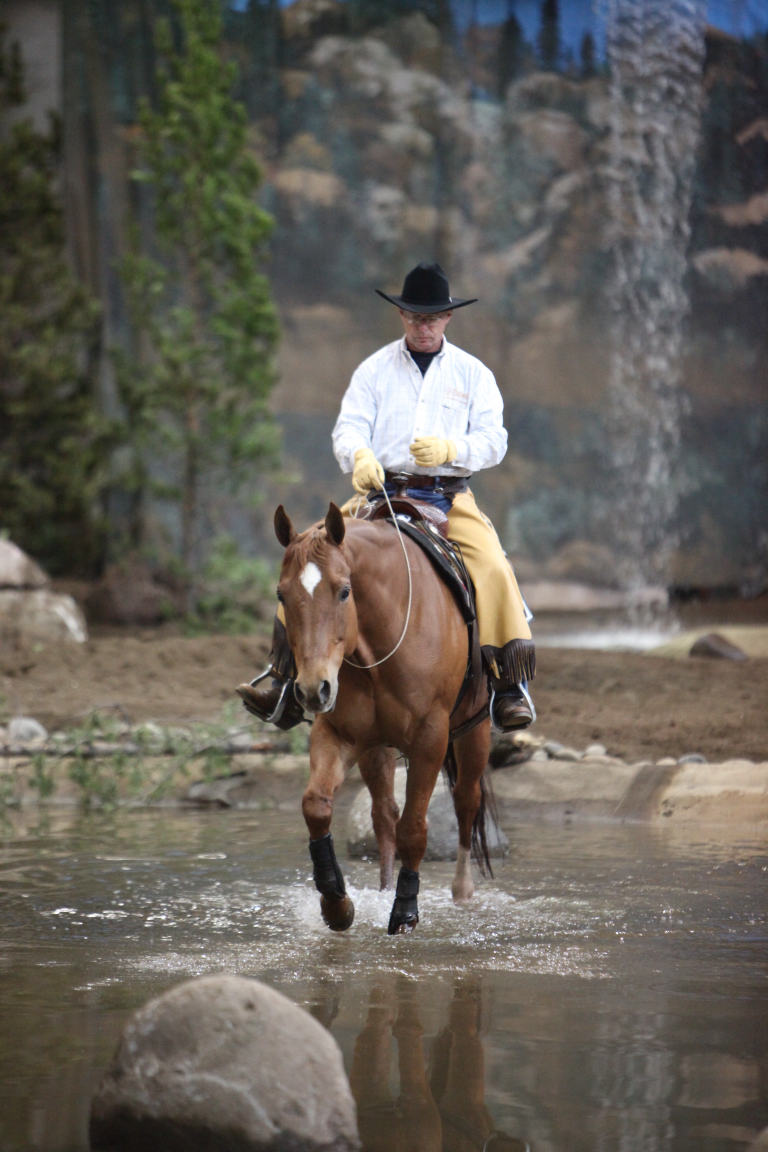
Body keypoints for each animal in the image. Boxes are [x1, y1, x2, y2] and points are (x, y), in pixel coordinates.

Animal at [272, 500, 494, 935]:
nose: (311, 689)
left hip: (474, 731)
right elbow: (317, 806)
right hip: (375, 748)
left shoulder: (430, 739)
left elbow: (415, 829)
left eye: (344, 591)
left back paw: (461, 890)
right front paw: (336, 902)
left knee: (465, 802)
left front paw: (405, 910)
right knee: (383, 814)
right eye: (281, 594)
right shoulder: (337, 732)